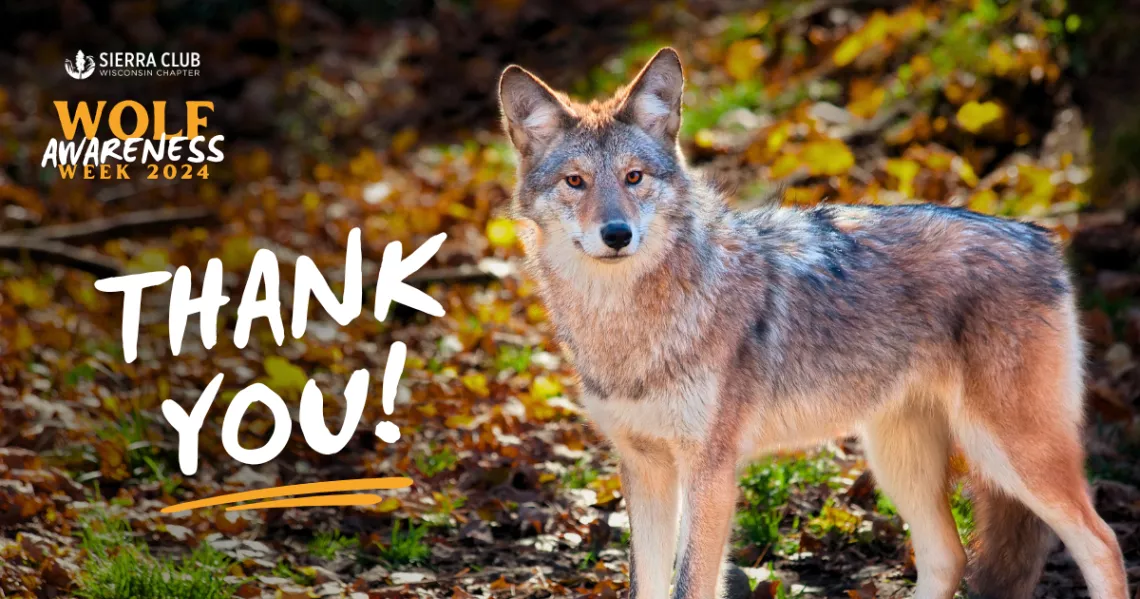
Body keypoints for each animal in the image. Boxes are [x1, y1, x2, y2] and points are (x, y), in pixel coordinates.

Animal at [497, 48, 1129, 599]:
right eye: (575, 182)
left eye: (633, 178)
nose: (617, 234)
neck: (628, 323)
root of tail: (1041, 237)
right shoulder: (643, 467)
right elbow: (646, 586)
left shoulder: (711, 471)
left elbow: (691, 583)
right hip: (899, 459)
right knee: (949, 557)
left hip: (1009, 454)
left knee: (1103, 542)